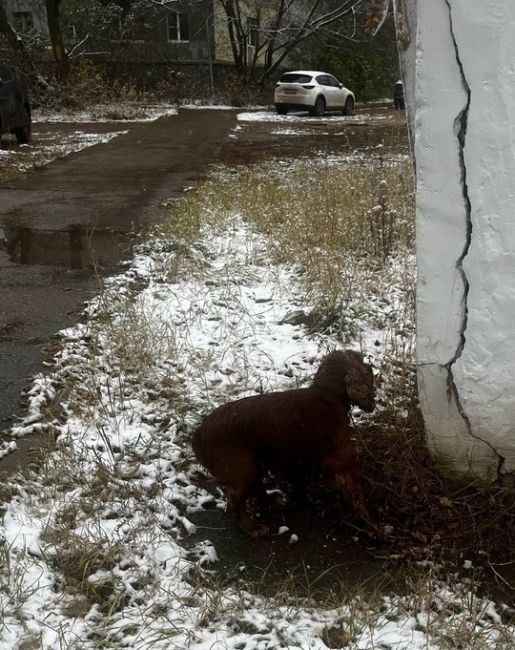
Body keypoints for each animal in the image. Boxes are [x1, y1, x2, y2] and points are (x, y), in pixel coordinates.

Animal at [192, 350, 374, 536]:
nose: (369, 363)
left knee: (257, 489)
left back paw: (274, 504)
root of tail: (198, 433)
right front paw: (373, 526)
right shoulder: (344, 462)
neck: (328, 392)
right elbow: (358, 500)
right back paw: (251, 527)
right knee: (235, 501)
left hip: (254, 464)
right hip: (242, 470)